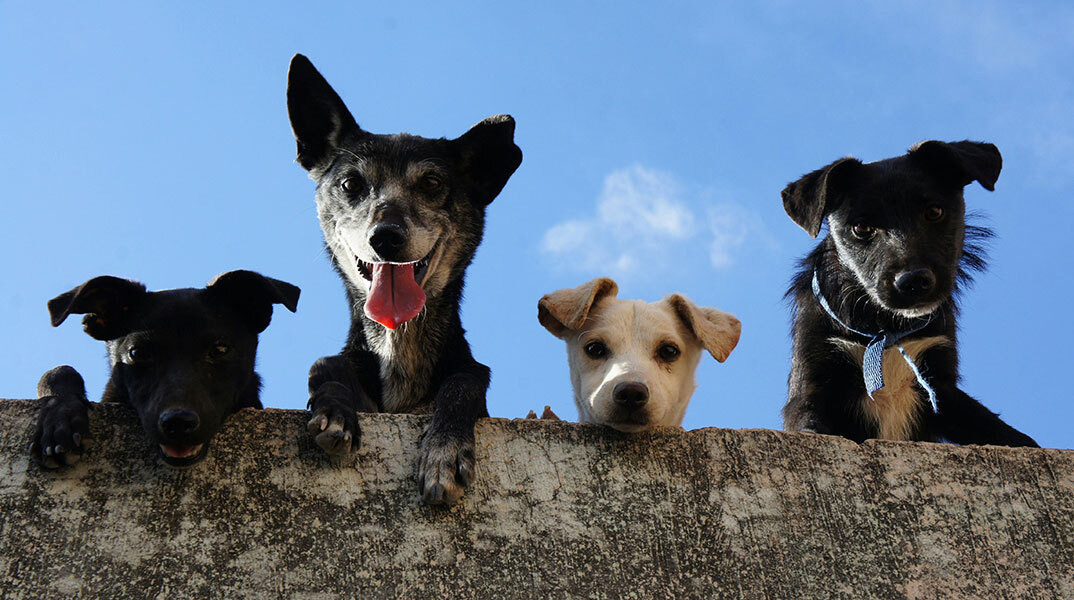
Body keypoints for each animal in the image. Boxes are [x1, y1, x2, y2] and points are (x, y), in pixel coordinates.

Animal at [283, 53, 521, 504]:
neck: (399, 347)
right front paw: (335, 412)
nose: (386, 237)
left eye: (431, 183)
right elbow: (324, 363)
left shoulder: (469, 378)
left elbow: (464, 382)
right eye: (351, 183)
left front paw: (444, 451)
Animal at [781, 140, 1039, 448]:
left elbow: (999, 430)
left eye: (934, 212)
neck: (885, 329)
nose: (914, 281)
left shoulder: (941, 387)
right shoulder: (812, 383)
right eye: (861, 228)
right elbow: (809, 424)